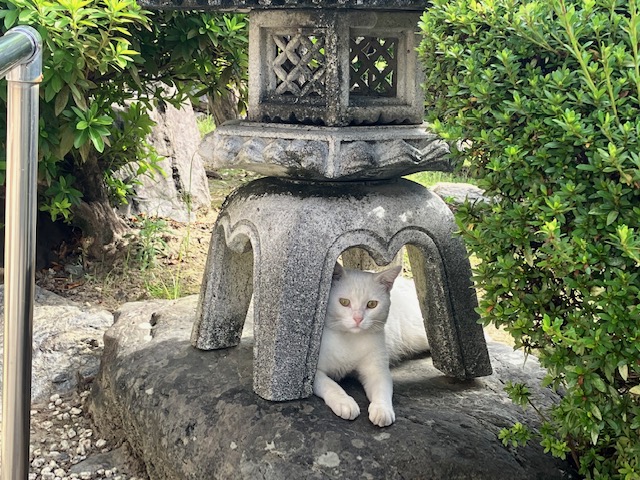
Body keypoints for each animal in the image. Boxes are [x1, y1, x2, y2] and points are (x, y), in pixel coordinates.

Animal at [313, 263, 430, 427]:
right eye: (344, 302)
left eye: (372, 304)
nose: (358, 318)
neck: (349, 339)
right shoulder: (312, 373)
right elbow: (330, 385)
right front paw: (345, 402)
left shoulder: (377, 371)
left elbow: (382, 390)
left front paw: (382, 410)